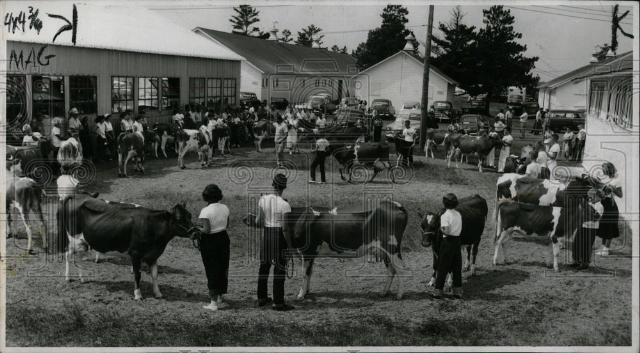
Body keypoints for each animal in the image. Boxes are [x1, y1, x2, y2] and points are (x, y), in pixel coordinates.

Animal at [60, 197, 196, 298]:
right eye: (179, 218)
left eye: (190, 215)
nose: (195, 232)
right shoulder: (135, 253)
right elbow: (137, 275)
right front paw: (138, 294)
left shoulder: (154, 255)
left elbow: (154, 275)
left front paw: (158, 293)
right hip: (74, 240)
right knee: (68, 255)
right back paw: (67, 278)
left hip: (84, 242)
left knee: (77, 258)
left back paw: (82, 278)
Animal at [248, 199, 408, 298]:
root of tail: (395, 204)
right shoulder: (311, 254)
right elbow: (309, 273)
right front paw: (307, 292)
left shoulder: (307, 252)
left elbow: (305, 273)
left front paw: (300, 294)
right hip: (384, 252)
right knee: (391, 270)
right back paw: (384, 292)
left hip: (392, 248)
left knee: (401, 270)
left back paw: (399, 295)